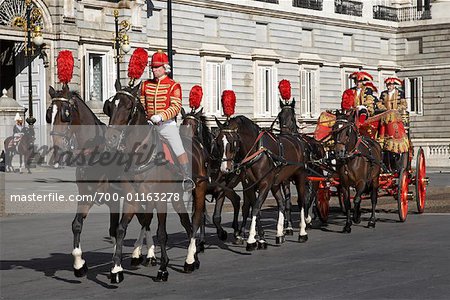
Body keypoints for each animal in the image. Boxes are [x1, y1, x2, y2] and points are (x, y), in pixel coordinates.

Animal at [103, 81, 202, 282]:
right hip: (176, 197)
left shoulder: (160, 199)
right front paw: (116, 269)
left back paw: (190, 259)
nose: (111, 138)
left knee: (193, 222)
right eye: (110, 107)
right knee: (186, 223)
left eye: (128, 107)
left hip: (198, 191)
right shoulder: (132, 199)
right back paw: (191, 260)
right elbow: (121, 229)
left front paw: (163, 269)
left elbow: (161, 233)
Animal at [215, 116, 310, 250]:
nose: (224, 169)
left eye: (233, 143)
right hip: (276, 183)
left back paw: (302, 233)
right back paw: (279, 234)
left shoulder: (265, 184)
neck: (256, 151)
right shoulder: (249, 185)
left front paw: (251, 240)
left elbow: (255, 208)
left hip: (300, 176)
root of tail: (299, 140)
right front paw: (261, 239)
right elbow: (255, 209)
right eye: (218, 143)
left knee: (301, 202)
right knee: (281, 202)